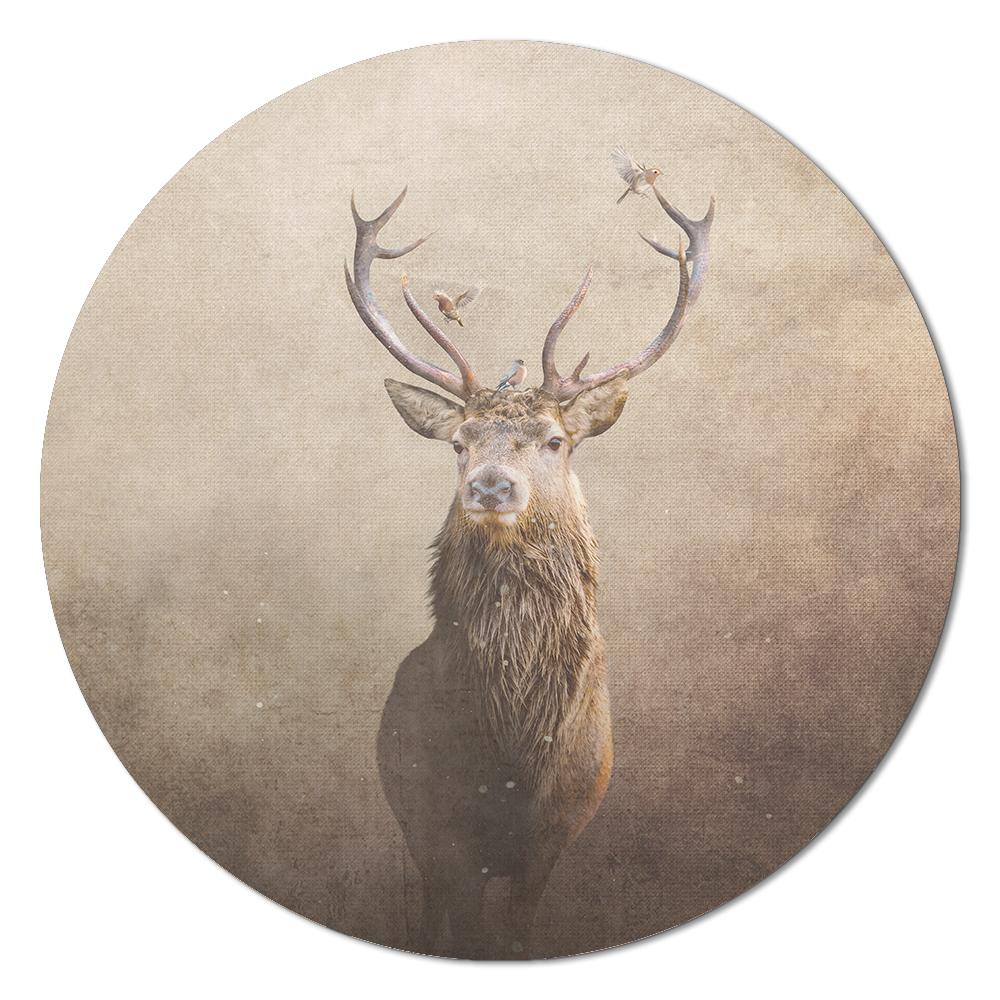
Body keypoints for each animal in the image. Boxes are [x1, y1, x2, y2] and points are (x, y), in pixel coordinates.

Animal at [344, 185, 713, 958]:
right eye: (459, 441)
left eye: (554, 440)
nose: (490, 486)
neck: (512, 762)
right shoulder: (440, 833)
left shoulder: (554, 835)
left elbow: (516, 937)